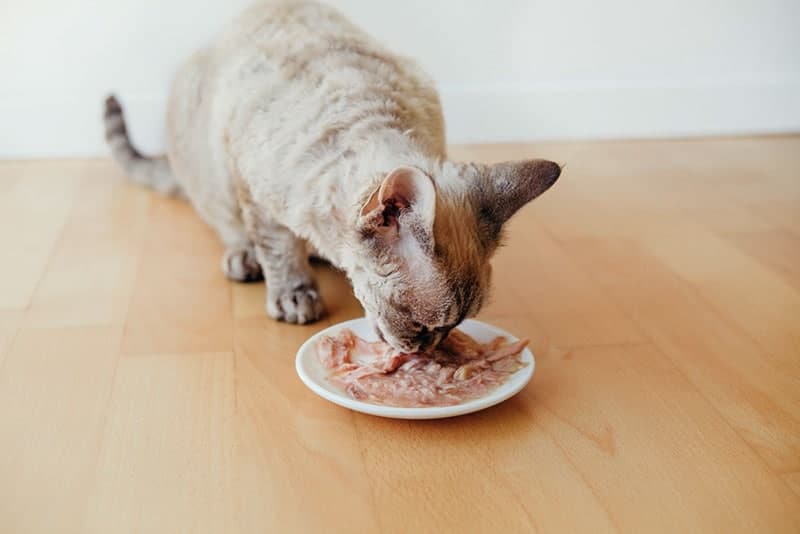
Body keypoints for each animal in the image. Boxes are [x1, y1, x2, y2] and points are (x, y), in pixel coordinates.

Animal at [103, 1, 560, 356]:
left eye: (454, 327)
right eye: (423, 325)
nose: (430, 349)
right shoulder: (255, 195)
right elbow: (279, 252)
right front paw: (294, 296)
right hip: (211, 173)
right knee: (229, 227)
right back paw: (247, 258)